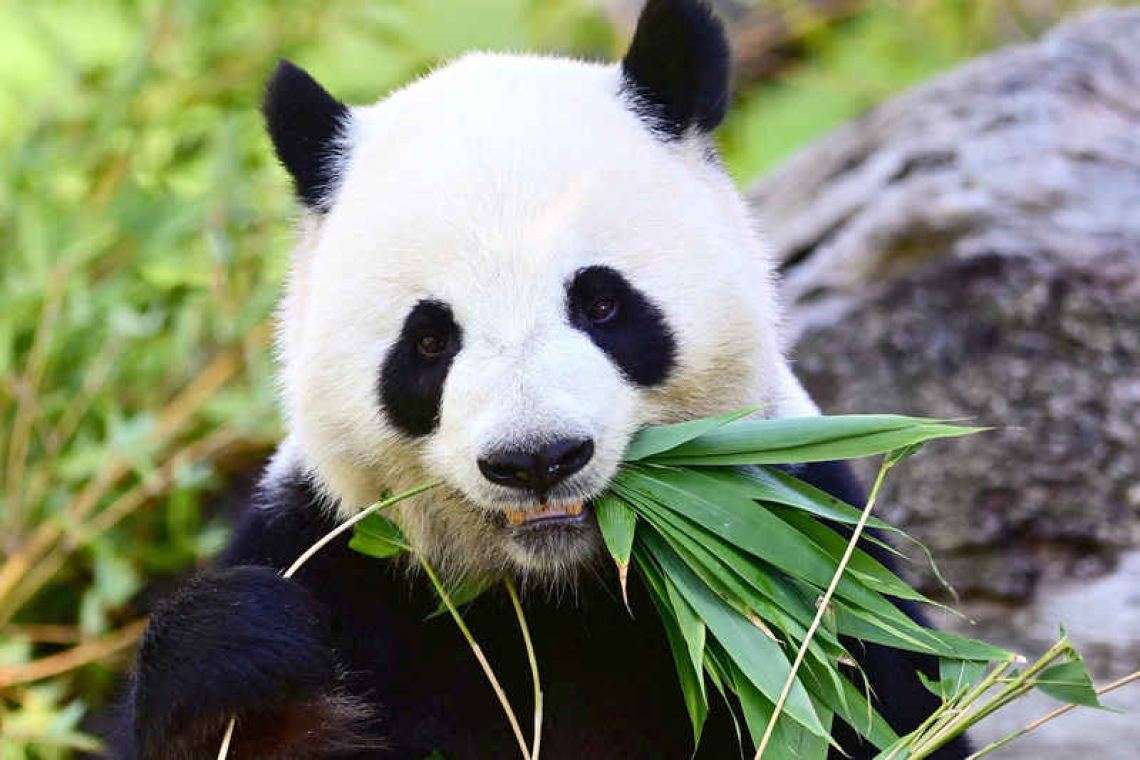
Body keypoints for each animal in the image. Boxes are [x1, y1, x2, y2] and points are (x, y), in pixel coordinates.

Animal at [112, 1, 969, 758]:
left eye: (601, 302)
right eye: (429, 341)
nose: (535, 460)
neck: (557, 590)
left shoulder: (803, 557)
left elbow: (872, 709)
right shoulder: (341, 553)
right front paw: (245, 662)